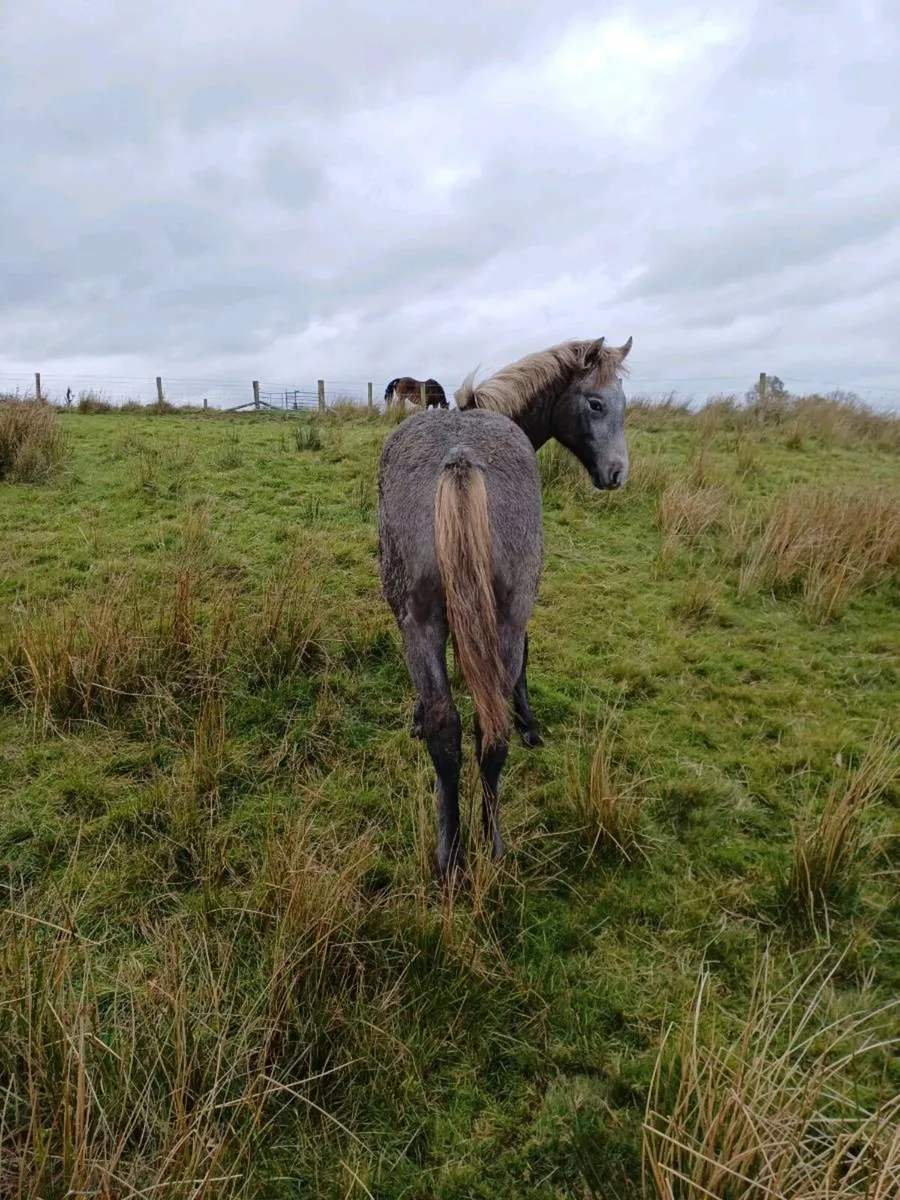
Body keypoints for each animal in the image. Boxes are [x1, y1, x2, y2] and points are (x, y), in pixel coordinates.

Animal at [377, 335, 632, 879]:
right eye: (595, 404)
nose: (616, 474)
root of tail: (460, 457)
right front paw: (530, 722)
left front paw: (416, 716)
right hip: (506, 619)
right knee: (488, 732)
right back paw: (487, 845)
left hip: (421, 623)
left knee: (458, 730)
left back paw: (451, 853)